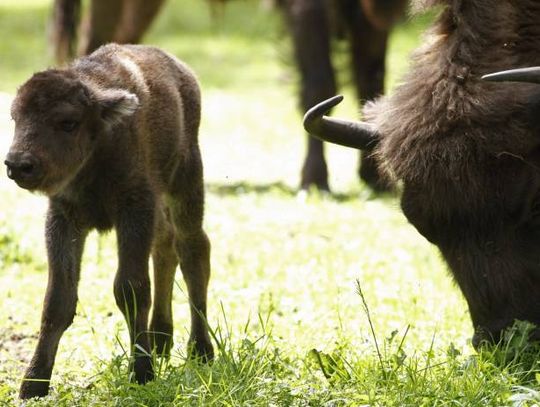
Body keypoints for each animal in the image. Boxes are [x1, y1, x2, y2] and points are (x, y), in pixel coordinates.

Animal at [6, 43, 214, 400]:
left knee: (193, 250)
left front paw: (142, 373)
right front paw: (33, 383)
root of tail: (183, 71)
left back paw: (200, 350)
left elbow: (130, 289)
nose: (18, 164)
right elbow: (57, 299)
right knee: (165, 247)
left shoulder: (135, 210)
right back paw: (161, 340)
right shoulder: (64, 218)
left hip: (185, 180)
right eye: (15, 117)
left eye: (68, 122)